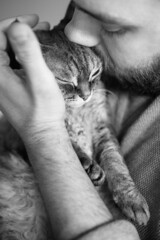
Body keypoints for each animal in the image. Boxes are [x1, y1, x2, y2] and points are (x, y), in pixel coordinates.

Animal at [0, 27, 150, 238]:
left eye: (94, 73)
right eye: (65, 80)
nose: (86, 96)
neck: (78, 111)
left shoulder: (102, 127)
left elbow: (115, 162)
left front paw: (132, 199)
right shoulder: (18, 139)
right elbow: (71, 145)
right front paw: (88, 165)